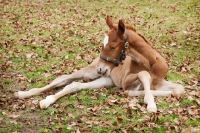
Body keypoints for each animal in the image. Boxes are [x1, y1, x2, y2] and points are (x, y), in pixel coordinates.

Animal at [14, 16, 184, 112]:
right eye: (103, 44)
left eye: (113, 47)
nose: (102, 68)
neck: (151, 64)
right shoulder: (125, 81)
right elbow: (142, 75)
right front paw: (150, 103)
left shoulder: (159, 83)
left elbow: (179, 90)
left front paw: (163, 95)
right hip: (91, 71)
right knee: (63, 79)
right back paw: (24, 94)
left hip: (105, 79)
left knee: (74, 86)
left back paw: (46, 101)